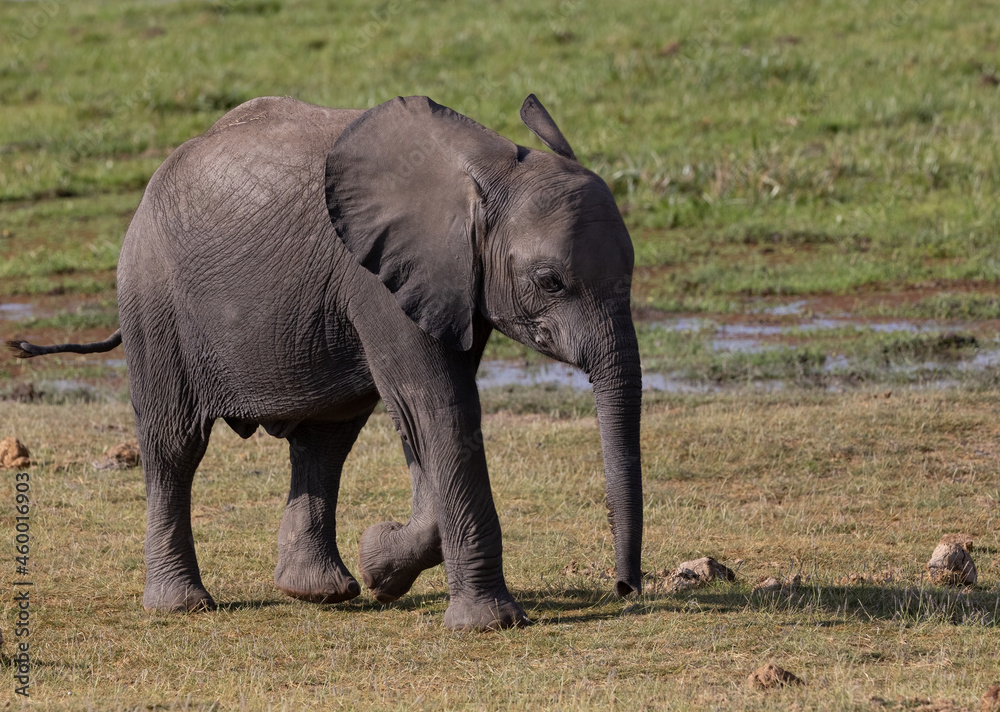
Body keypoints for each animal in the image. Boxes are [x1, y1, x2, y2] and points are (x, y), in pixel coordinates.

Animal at [7, 93, 643, 630]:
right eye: (550, 281)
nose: (625, 590)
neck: (489, 166)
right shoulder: (378, 279)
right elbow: (438, 409)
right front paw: (486, 623)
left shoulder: (450, 282)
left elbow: (425, 420)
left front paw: (380, 566)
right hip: (153, 298)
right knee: (175, 444)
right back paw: (183, 606)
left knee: (325, 438)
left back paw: (319, 593)